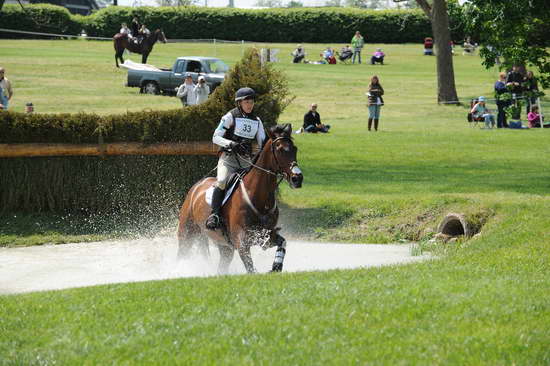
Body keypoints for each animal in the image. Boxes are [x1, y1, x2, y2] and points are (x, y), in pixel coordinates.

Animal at [177, 124, 304, 274]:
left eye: (295, 149)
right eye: (279, 149)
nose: (297, 178)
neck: (258, 198)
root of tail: (196, 187)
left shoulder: (266, 236)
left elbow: (282, 242)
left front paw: (276, 267)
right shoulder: (242, 242)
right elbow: (251, 269)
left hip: (225, 247)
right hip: (186, 234)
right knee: (181, 255)